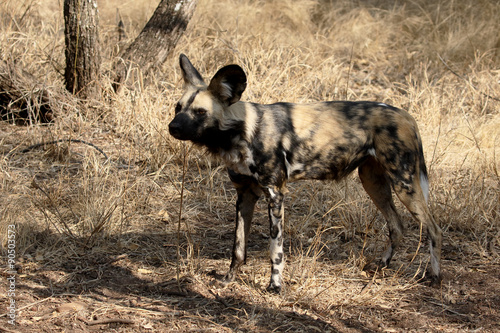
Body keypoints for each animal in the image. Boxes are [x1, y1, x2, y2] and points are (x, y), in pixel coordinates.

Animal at [168, 53, 442, 292]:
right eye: (177, 108)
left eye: (200, 112)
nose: (172, 127)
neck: (243, 131)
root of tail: (406, 115)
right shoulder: (245, 195)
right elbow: (238, 248)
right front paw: (228, 280)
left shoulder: (275, 195)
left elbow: (275, 250)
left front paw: (275, 286)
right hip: (373, 183)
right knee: (397, 226)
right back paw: (381, 265)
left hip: (404, 184)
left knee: (433, 229)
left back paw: (435, 277)